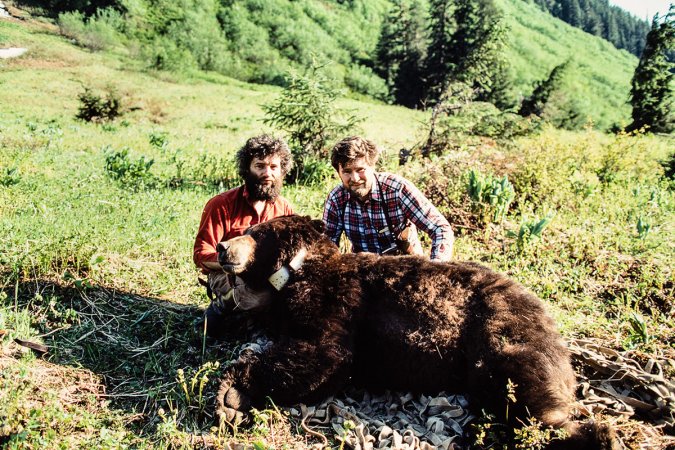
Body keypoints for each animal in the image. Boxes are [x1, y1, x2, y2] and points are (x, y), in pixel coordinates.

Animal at [213, 216, 616, 448]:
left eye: (257, 233)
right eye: (248, 230)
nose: (222, 246)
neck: (299, 269)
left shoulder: (341, 304)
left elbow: (323, 357)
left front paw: (230, 394)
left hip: (498, 332)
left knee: (525, 396)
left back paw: (593, 435)